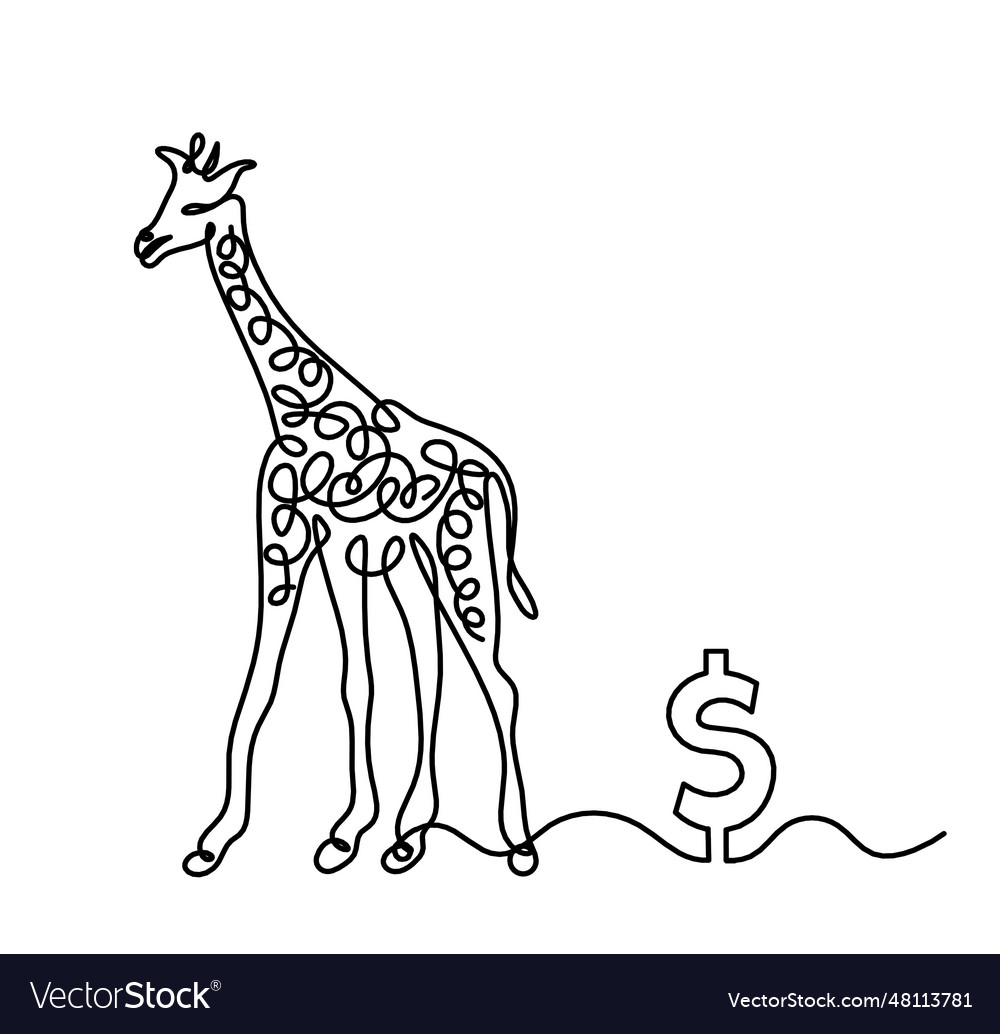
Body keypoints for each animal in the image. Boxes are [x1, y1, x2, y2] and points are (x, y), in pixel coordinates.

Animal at [134, 134, 539, 877]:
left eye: (198, 206)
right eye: (164, 194)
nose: (145, 244)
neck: (291, 408)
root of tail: (496, 472)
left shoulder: (290, 540)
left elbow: (278, 681)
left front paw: (232, 839)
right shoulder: (338, 549)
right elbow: (351, 683)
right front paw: (344, 830)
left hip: (464, 558)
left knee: (500, 682)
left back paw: (517, 841)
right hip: (422, 562)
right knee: (435, 668)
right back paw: (411, 833)